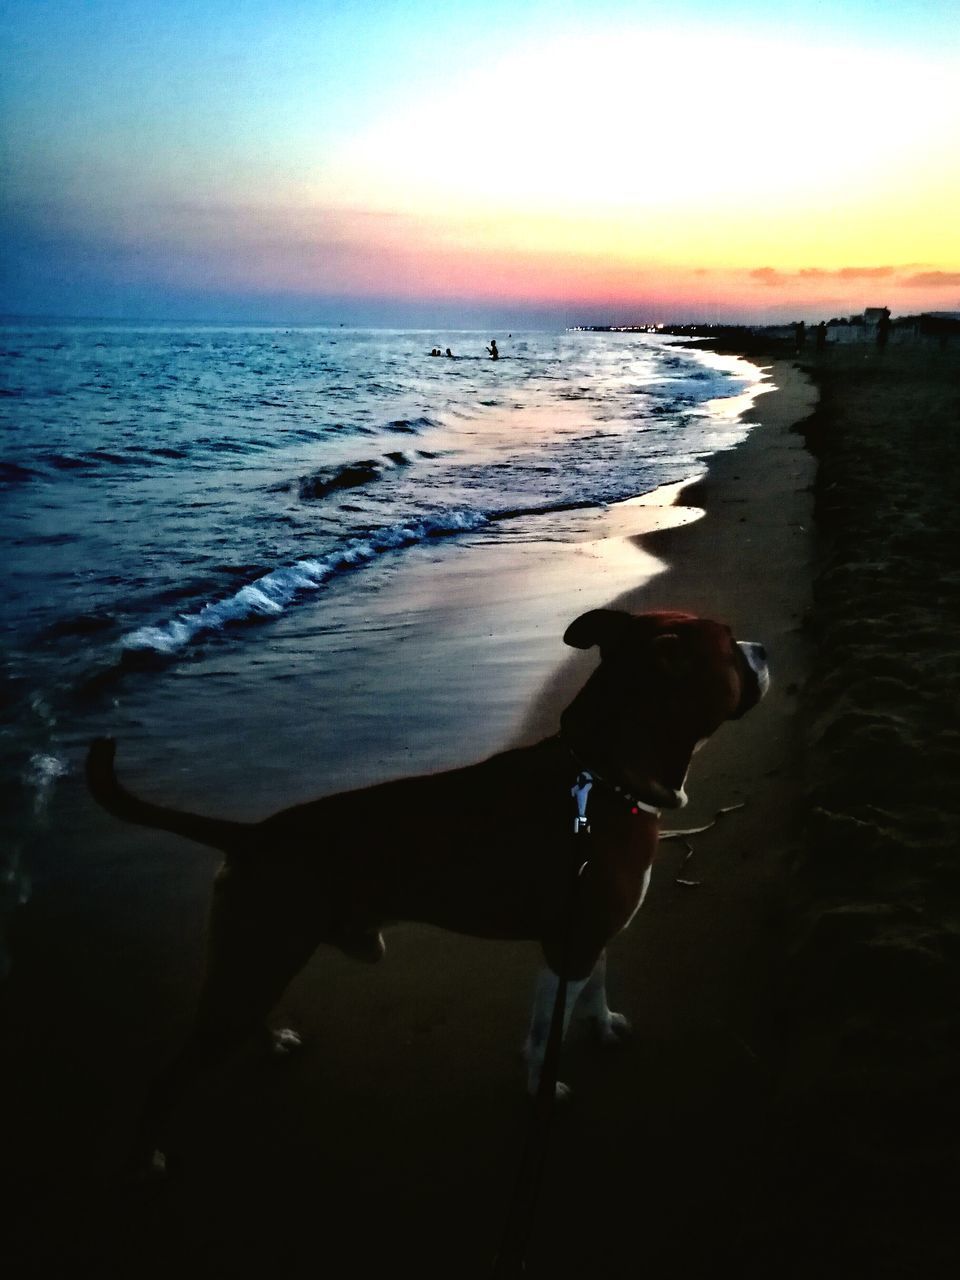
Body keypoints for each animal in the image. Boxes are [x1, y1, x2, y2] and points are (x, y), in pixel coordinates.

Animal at [86, 606, 773, 1172]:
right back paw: (147, 1155)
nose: (764, 648)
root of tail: (251, 835)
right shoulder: (566, 949)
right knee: (170, 1075)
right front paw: (540, 1089)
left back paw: (273, 1042)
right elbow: (541, 1034)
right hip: (257, 955)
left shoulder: (589, 933)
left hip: (252, 961)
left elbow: (596, 987)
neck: (601, 777)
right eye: (729, 645)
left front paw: (601, 1026)